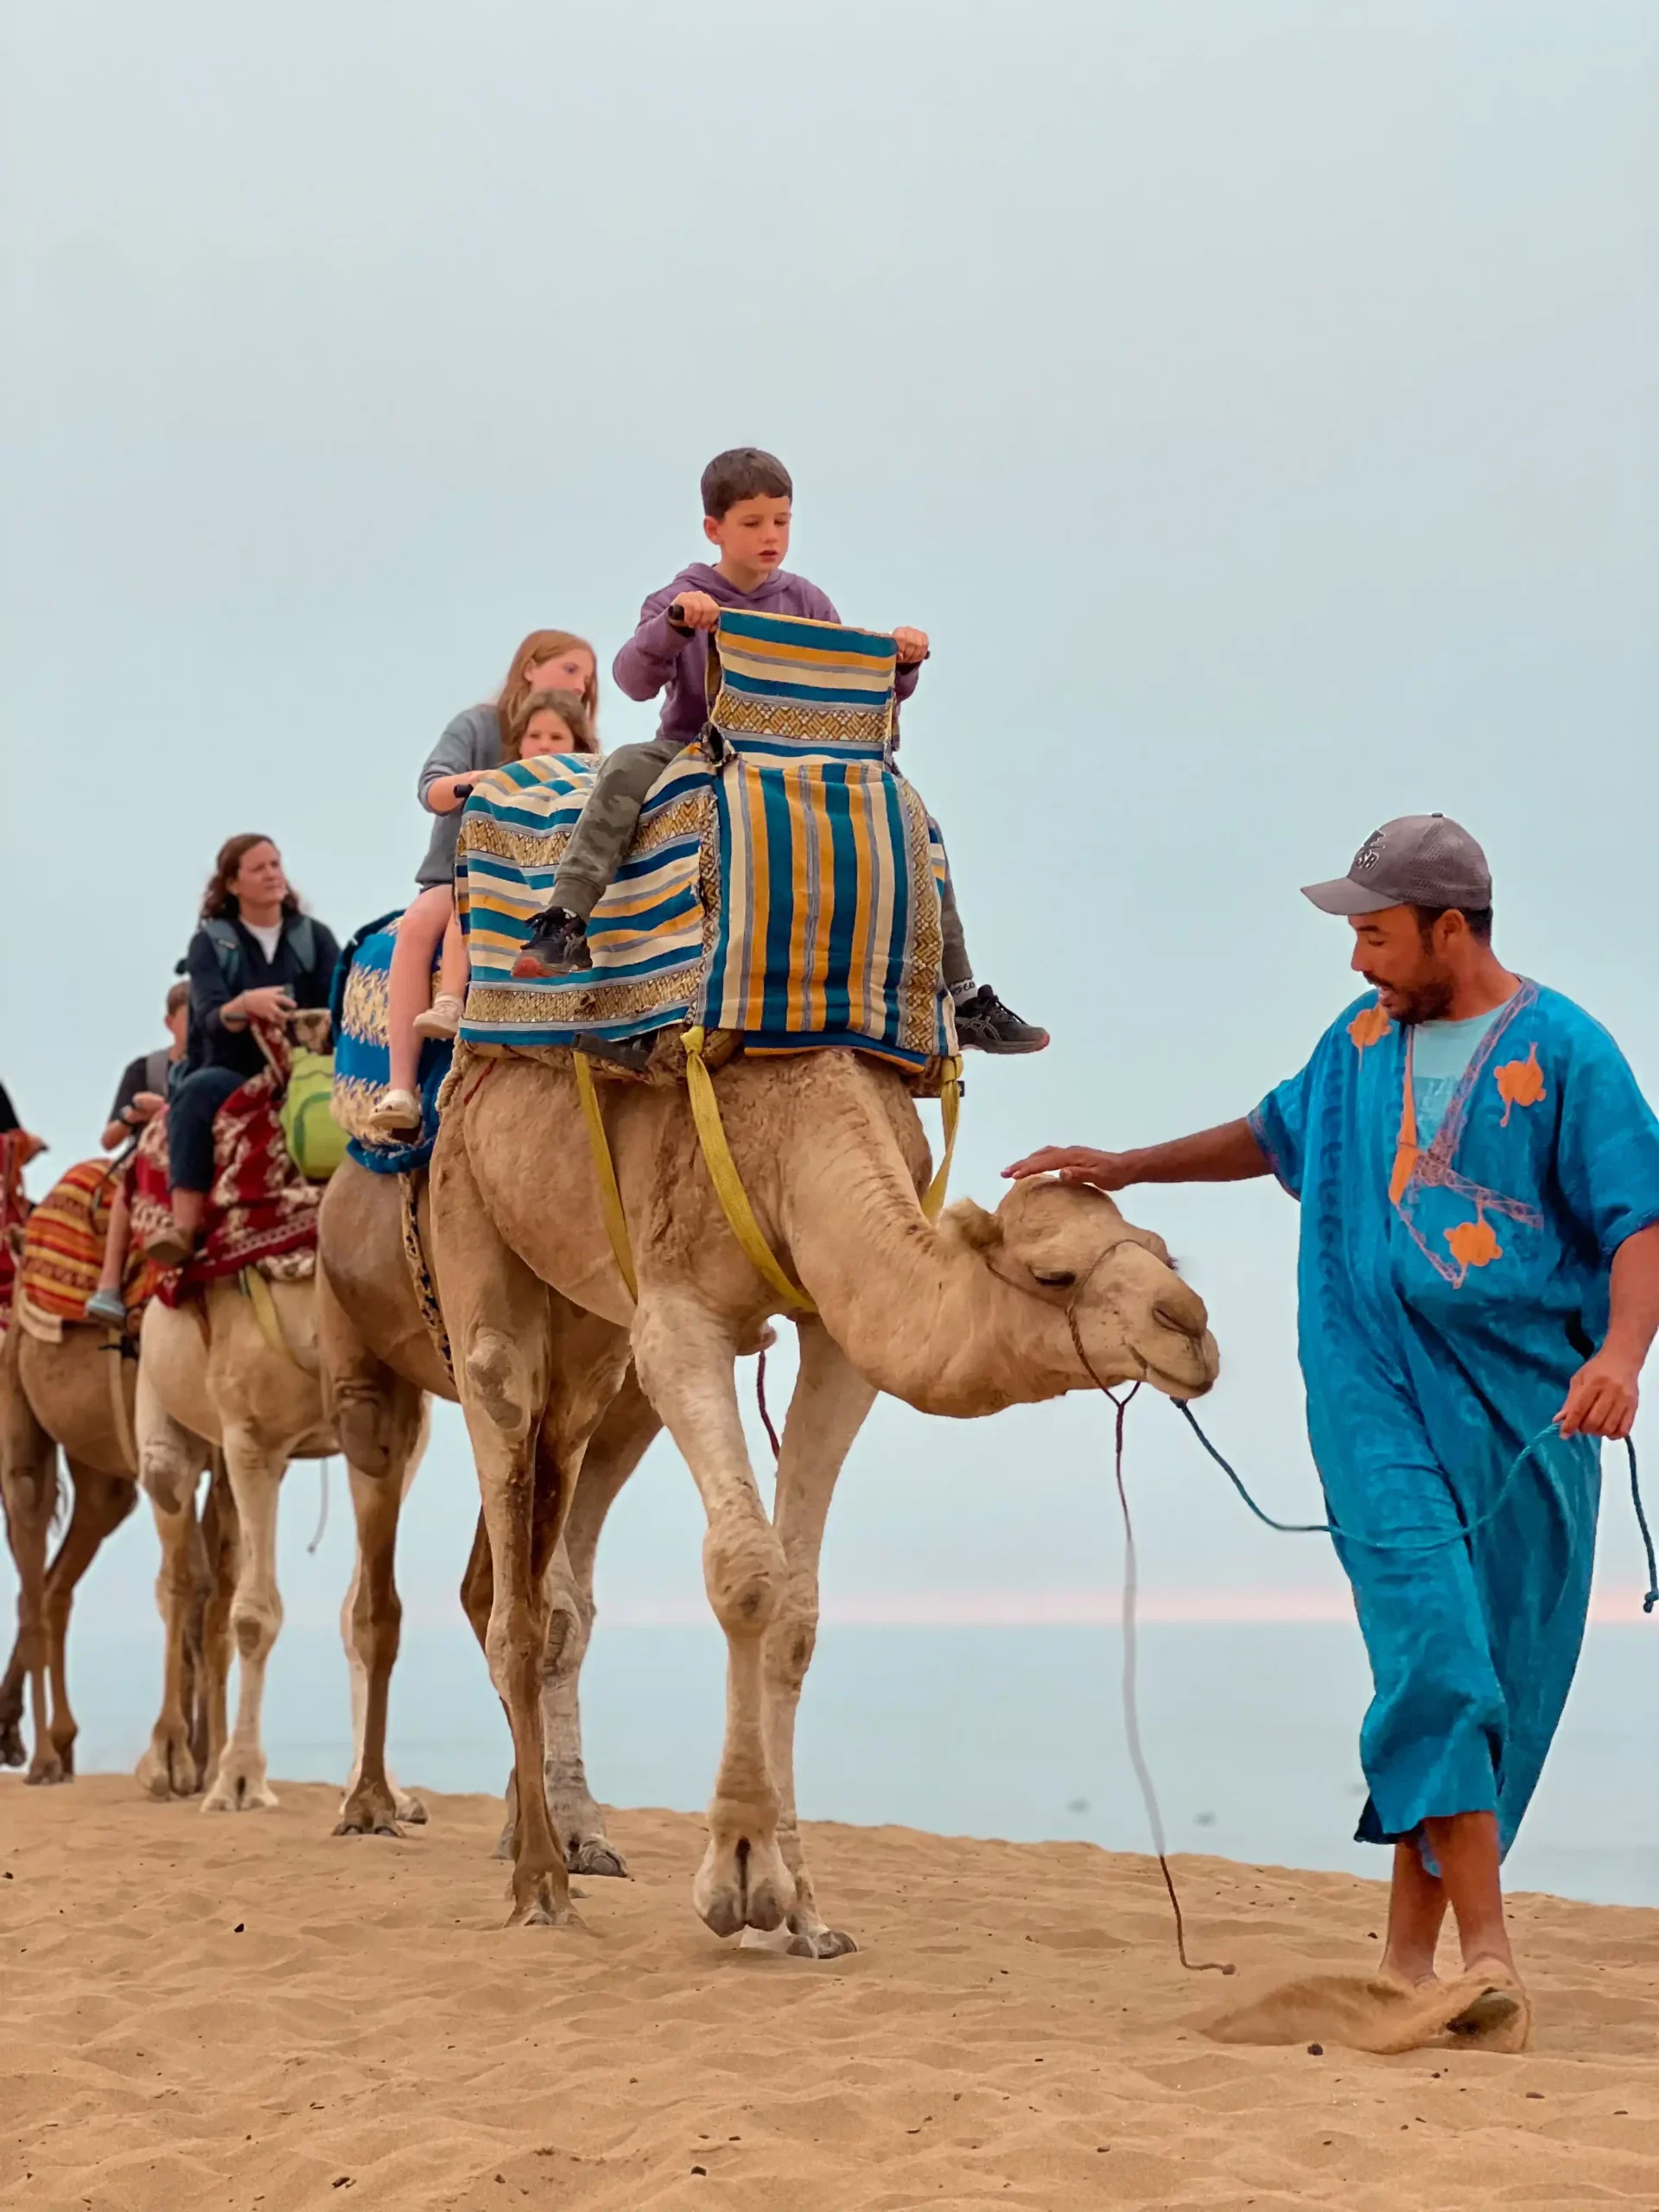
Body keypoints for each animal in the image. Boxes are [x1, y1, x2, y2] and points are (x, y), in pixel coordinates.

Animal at [316, 1153, 661, 1865]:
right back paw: (369, 1806)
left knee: (481, 1588)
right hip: (365, 1370)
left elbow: (561, 1611)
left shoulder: (618, 1398)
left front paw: (574, 1830)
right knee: (377, 1594)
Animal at [430, 1045, 1219, 1948]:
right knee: (507, 1492)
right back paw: (540, 1881)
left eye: (1162, 1250)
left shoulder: (838, 1332)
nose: (1191, 1327)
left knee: (562, 1461)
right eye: (1055, 1274)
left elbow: (798, 1614)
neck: (804, 1135)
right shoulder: (679, 1314)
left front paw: (802, 1913)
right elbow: (748, 1574)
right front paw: (736, 1880)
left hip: (587, 1330)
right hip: (467, 1210)